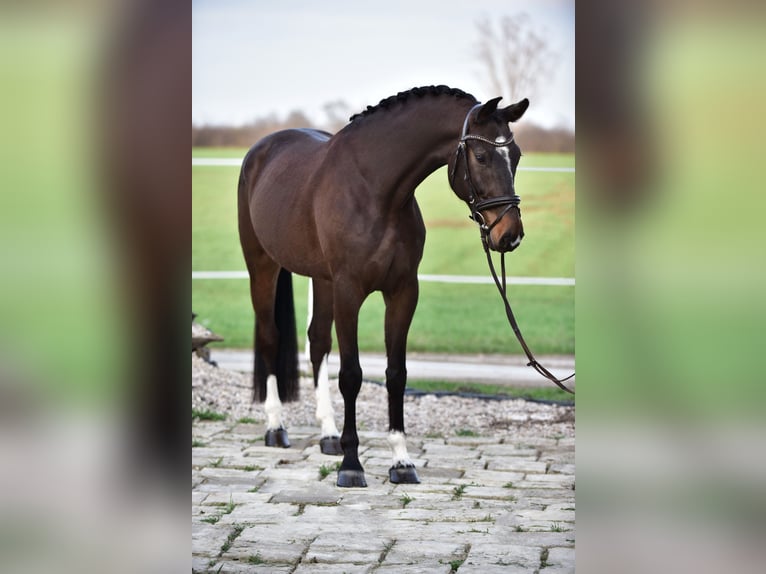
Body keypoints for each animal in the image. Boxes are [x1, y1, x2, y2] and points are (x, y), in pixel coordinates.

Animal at [237, 85, 528, 487]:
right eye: (482, 156)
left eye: (515, 155)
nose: (509, 235)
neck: (376, 191)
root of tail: (261, 149)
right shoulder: (348, 292)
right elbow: (351, 375)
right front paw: (351, 466)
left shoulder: (403, 292)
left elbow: (395, 374)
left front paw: (401, 462)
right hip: (263, 266)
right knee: (270, 336)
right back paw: (276, 428)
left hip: (321, 280)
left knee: (318, 343)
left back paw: (328, 434)